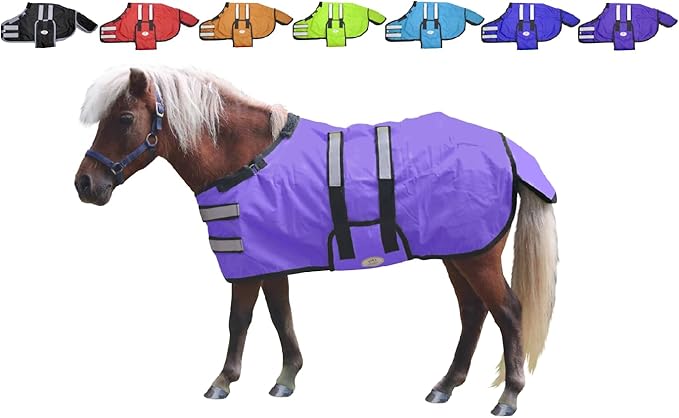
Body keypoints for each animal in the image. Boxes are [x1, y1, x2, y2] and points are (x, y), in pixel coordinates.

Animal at [74, 67, 558, 416]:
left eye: (124, 118)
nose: (85, 184)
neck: (244, 159)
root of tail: (505, 146)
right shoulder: (271, 261)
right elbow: (280, 316)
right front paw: (286, 377)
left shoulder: (248, 265)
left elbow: (239, 320)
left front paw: (223, 381)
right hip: (457, 254)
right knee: (474, 312)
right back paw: (446, 385)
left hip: (477, 257)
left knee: (508, 313)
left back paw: (509, 396)